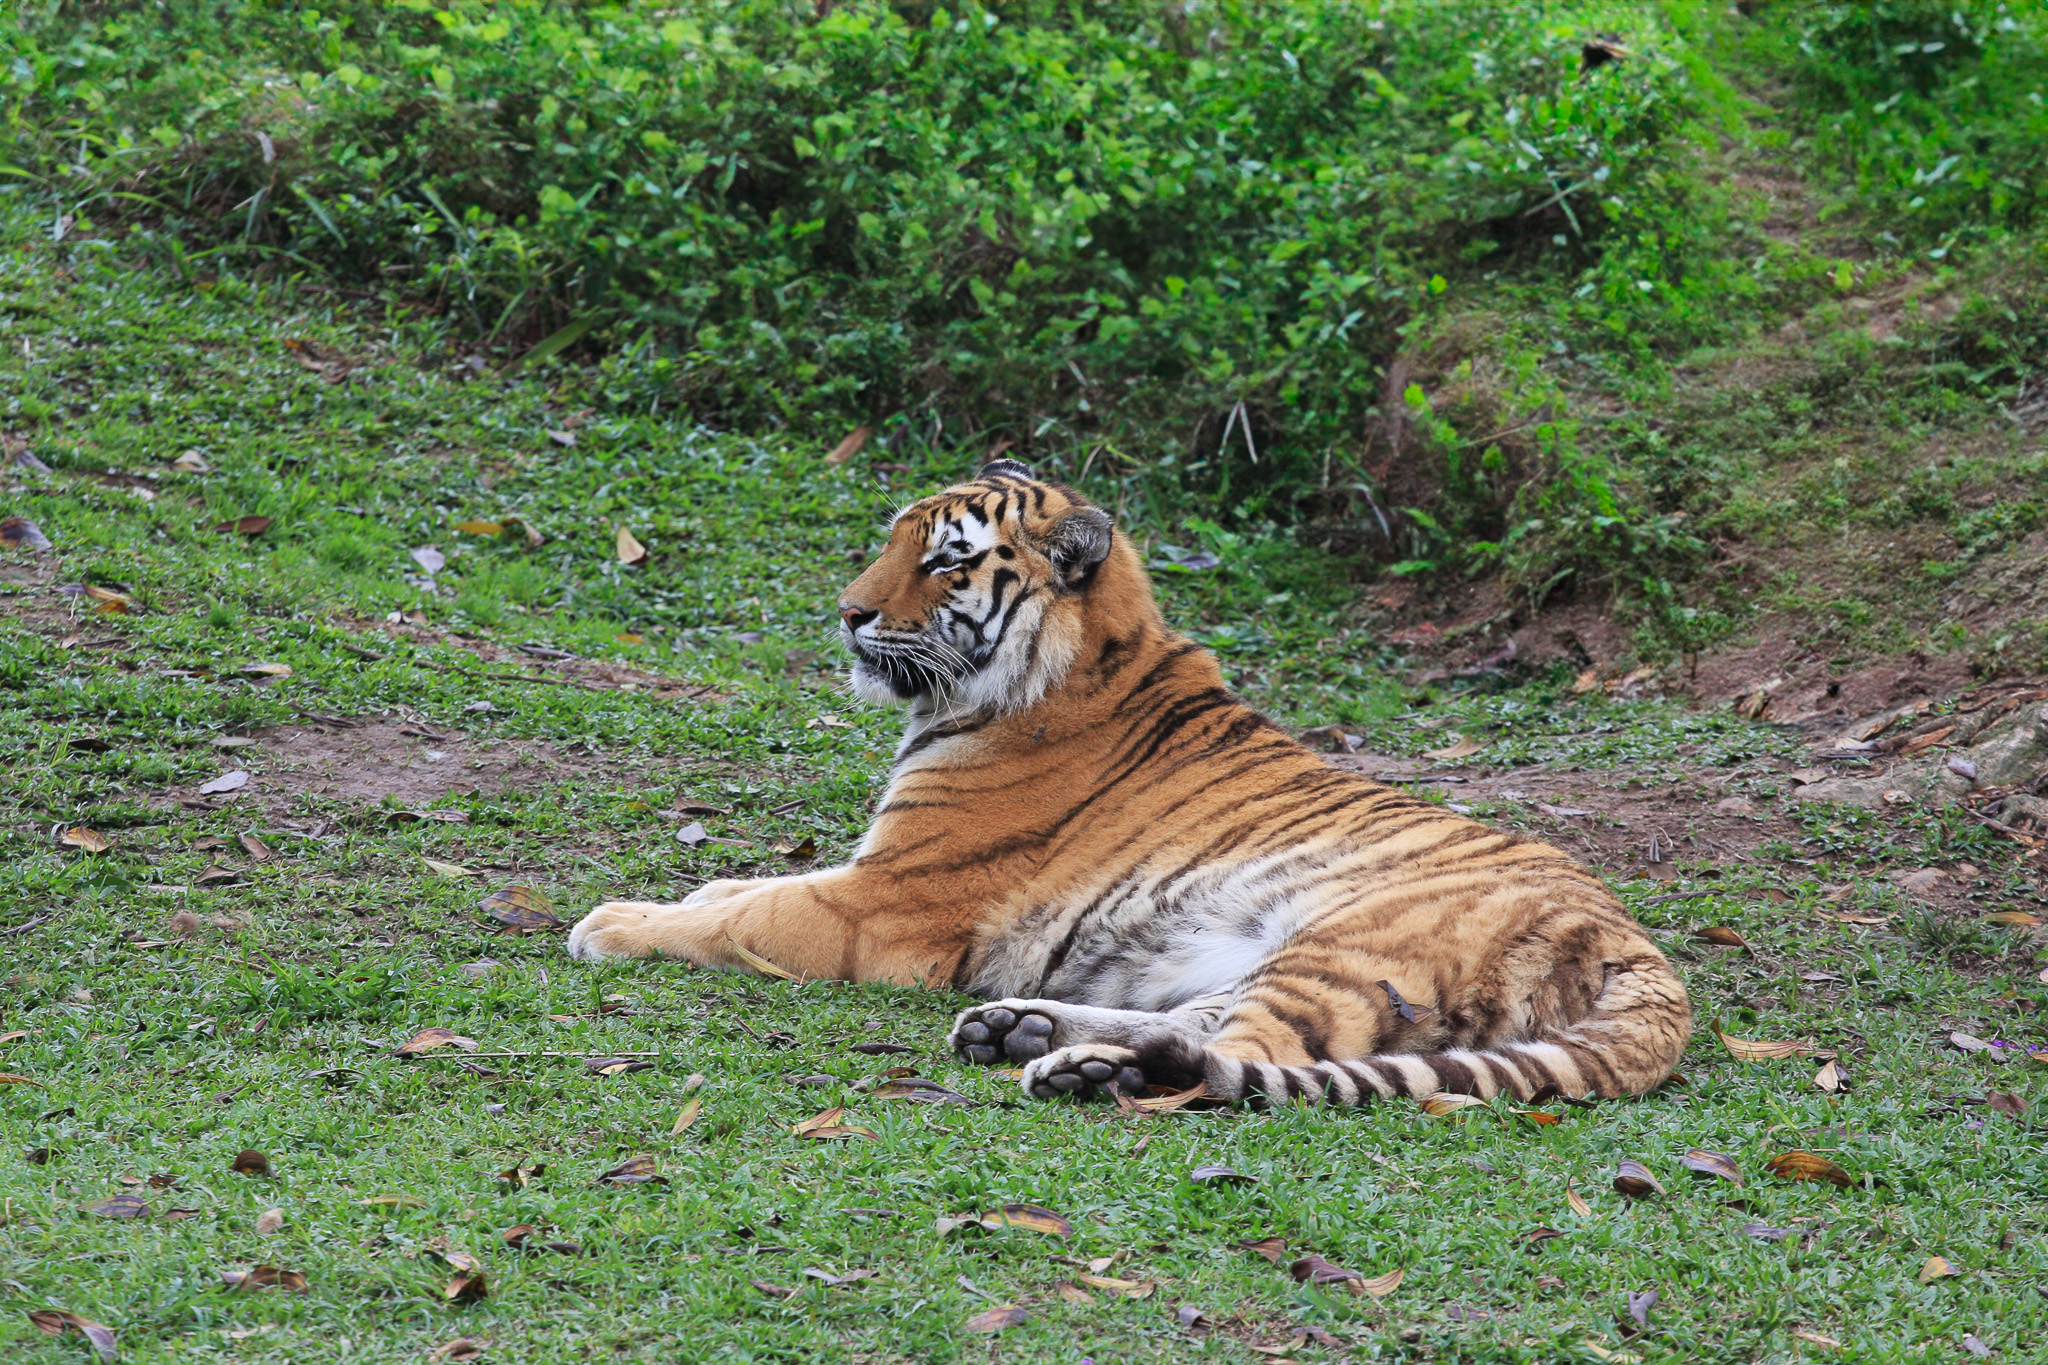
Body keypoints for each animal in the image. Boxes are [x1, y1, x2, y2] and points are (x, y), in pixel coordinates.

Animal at [567, 459, 1692, 1106]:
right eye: (893, 539)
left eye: (944, 563)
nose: (846, 613)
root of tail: (1632, 942)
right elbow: (738, 887)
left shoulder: (883, 901)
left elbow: (742, 914)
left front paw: (612, 923)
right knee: (1202, 1025)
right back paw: (1030, 1034)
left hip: (1345, 949)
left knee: (1251, 1064)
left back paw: (1084, 1067)